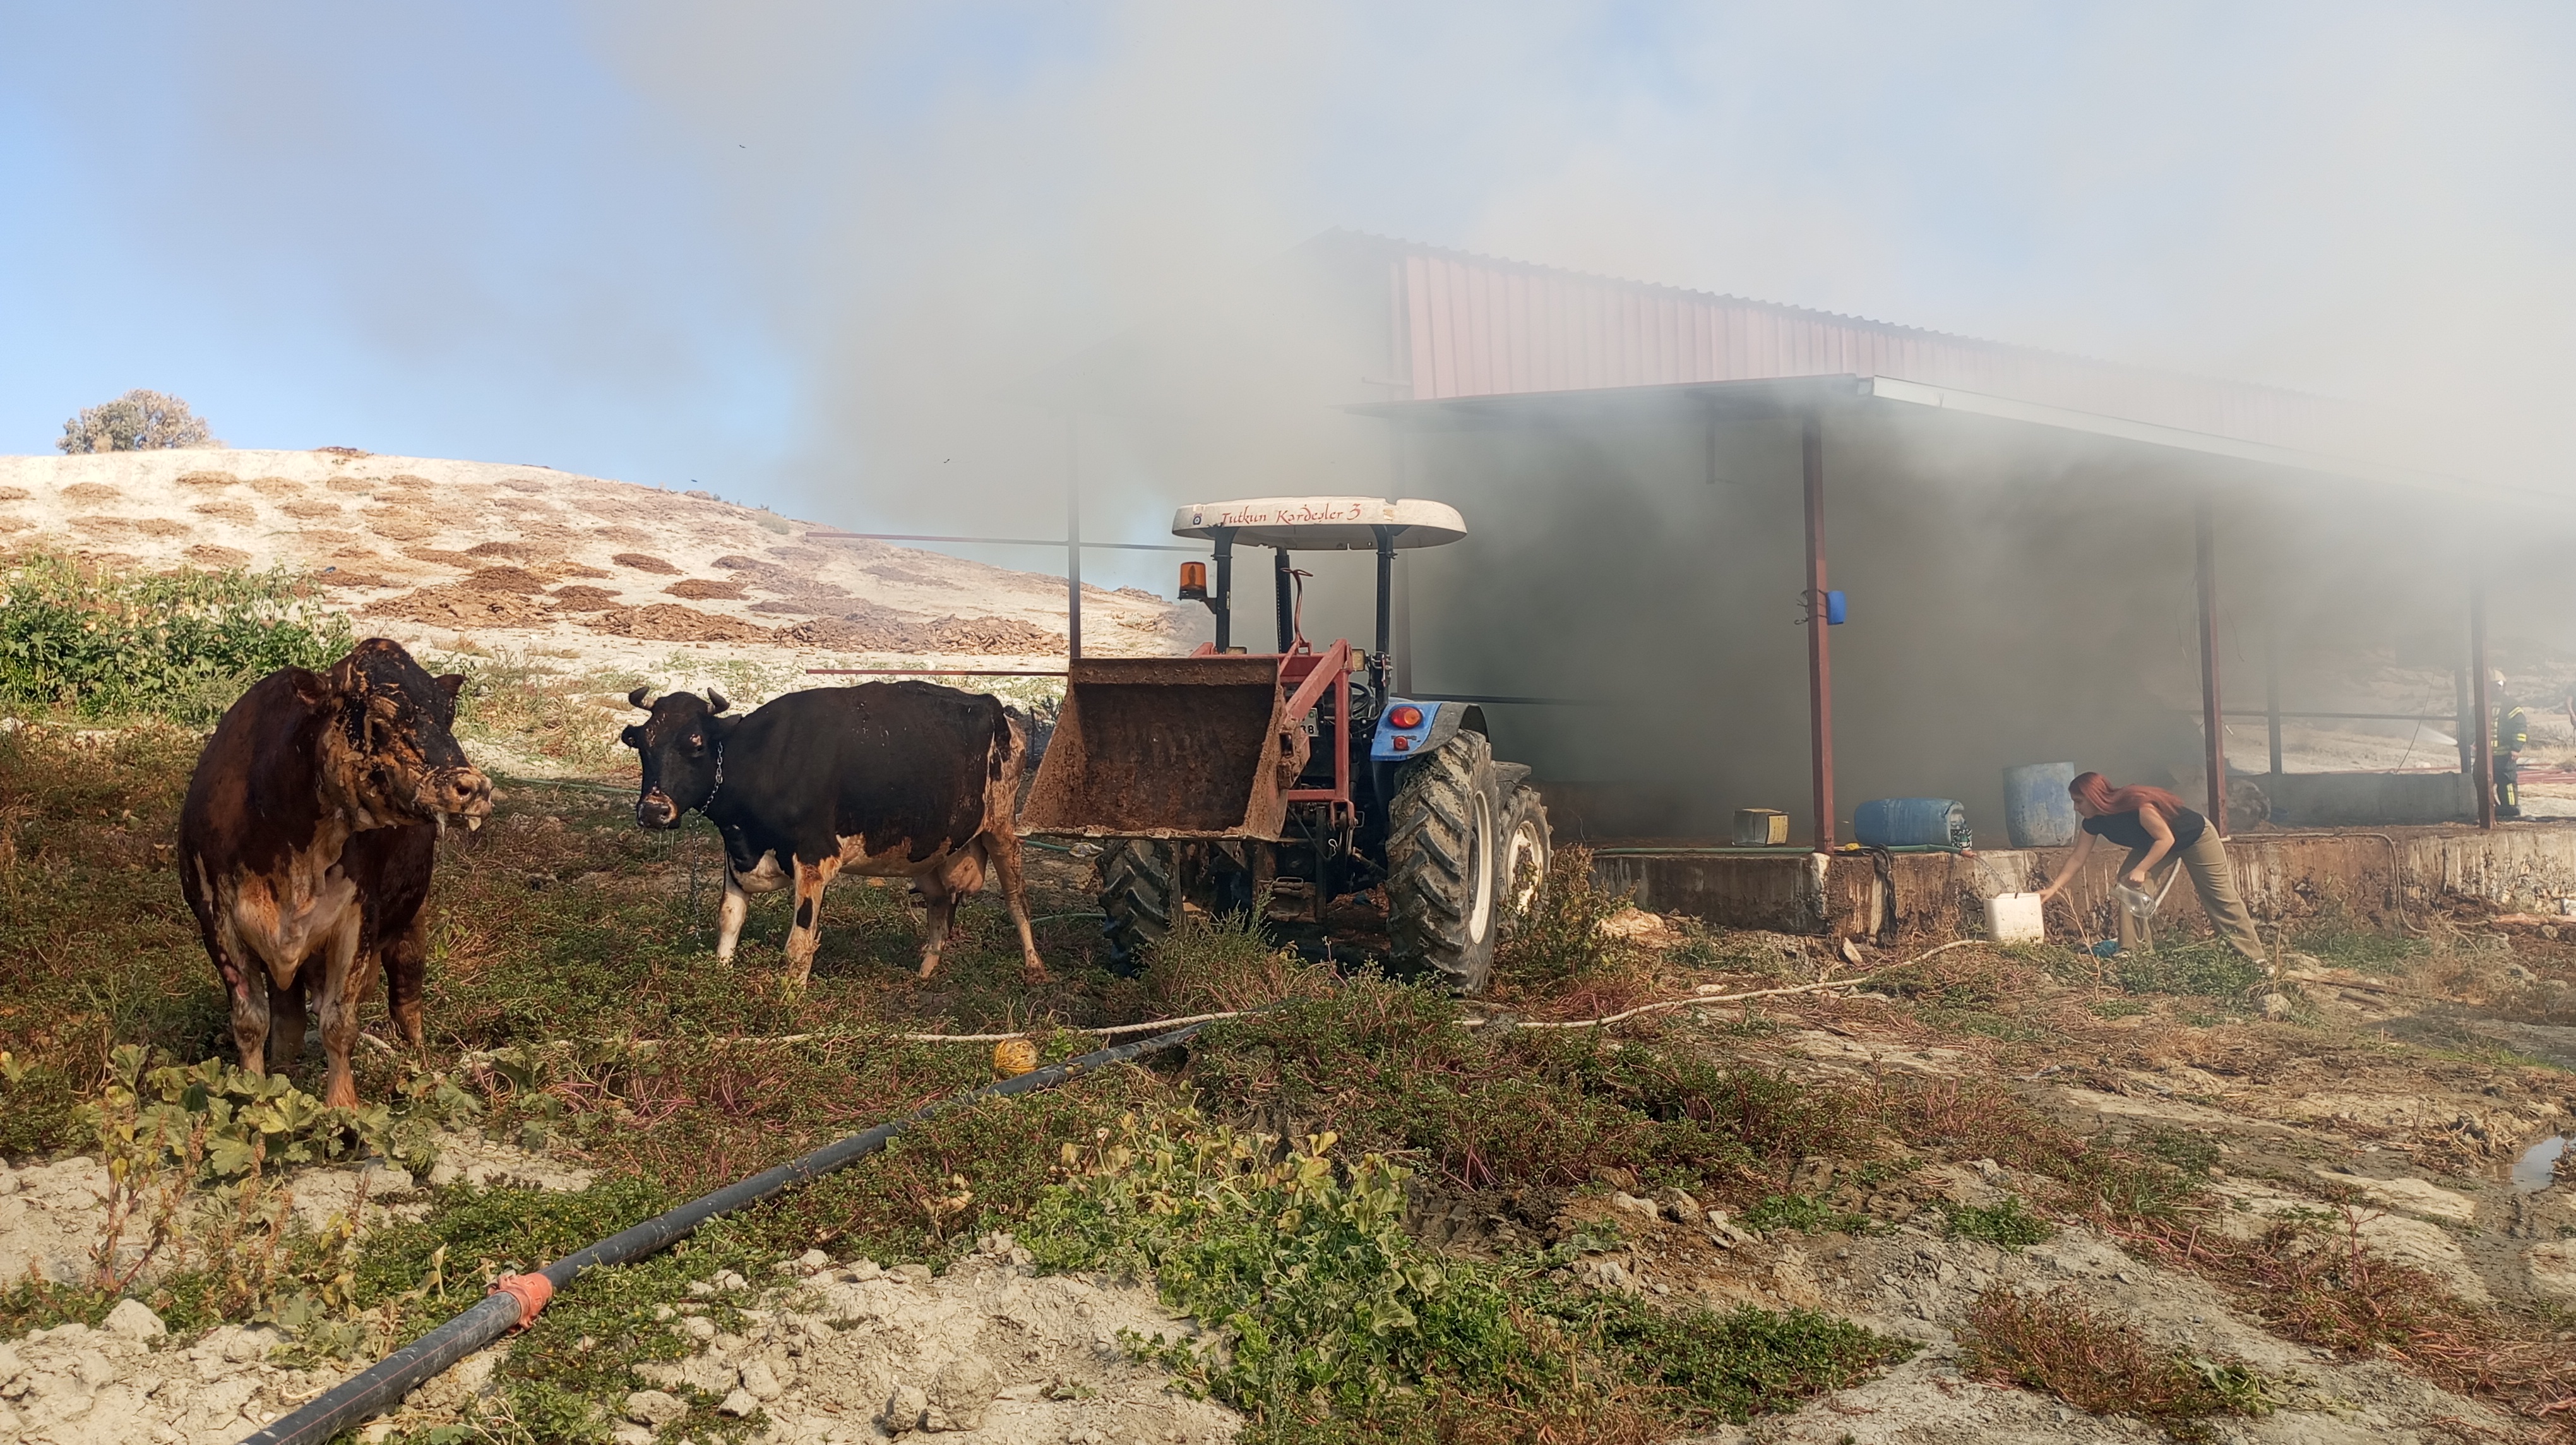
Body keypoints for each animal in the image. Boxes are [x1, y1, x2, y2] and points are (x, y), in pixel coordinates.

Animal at [177, 636, 497, 1097]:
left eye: (448, 715)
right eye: (380, 719)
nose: (473, 788)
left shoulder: (360, 915)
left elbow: (339, 1023)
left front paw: (342, 1104)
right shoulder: (215, 917)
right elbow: (251, 1021)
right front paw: (254, 1091)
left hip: (413, 922)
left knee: (407, 1000)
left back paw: (418, 1067)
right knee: (289, 1018)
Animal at [618, 680, 1041, 983]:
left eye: (696, 744)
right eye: (642, 745)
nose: (654, 811)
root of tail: (1002, 712)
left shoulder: (814, 858)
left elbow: (799, 944)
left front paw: (789, 1001)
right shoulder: (735, 854)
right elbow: (729, 919)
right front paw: (721, 975)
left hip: (1002, 830)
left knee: (1017, 899)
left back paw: (1034, 966)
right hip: (931, 850)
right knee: (939, 905)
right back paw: (925, 972)